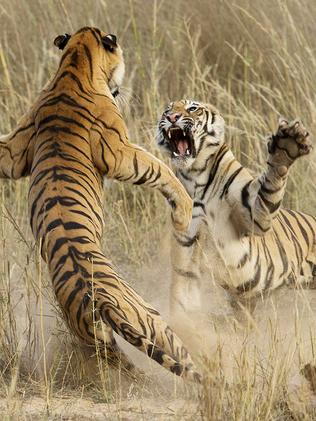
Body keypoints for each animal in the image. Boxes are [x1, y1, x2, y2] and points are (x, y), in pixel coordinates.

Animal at [0, 27, 202, 382]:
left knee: (125, 364)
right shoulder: (119, 152)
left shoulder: (16, 149)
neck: (73, 65)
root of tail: (97, 301)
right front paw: (184, 208)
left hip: (96, 339)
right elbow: (158, 168)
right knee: (180, 354)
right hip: (151, 319)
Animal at [157, 98, 316, 338]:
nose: (172, 118)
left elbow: (272, 180)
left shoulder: (255, 215)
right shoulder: (187, 243)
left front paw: (287, 145)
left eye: (192, 108)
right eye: (167, 110)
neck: (196, 176)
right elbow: (183, 294)